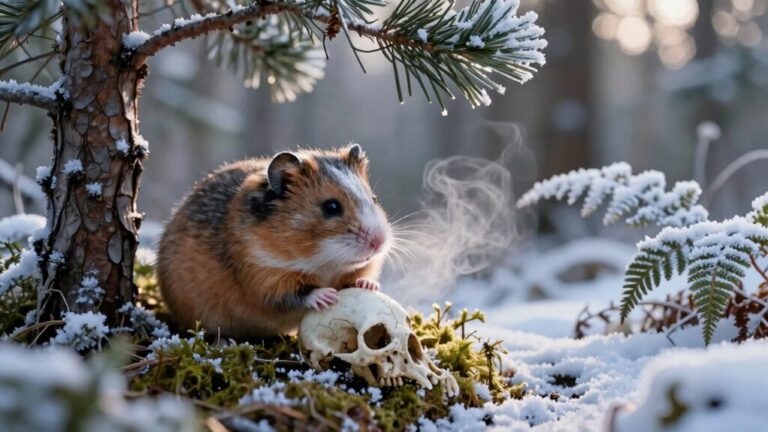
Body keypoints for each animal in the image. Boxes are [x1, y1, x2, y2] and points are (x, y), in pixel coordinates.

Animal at [157, 144, 391, 338]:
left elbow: (359, 276)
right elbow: (297, 294)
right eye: (331, 207)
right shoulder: (264, 278)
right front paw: (327, 297)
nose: (379, 242)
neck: (322, 261)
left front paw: (368, 285)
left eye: (374, 199)